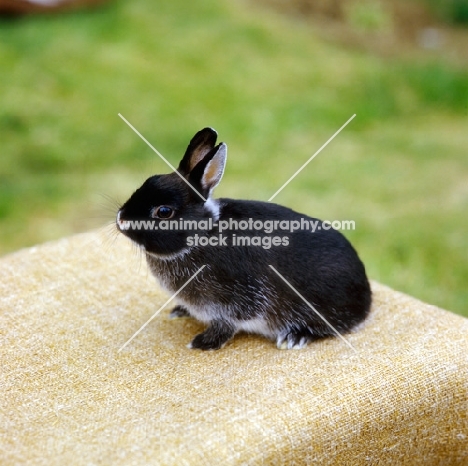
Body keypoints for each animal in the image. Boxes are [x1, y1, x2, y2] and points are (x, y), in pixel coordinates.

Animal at [115, 127, 372, 350]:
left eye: (164, 212)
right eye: (147, 181)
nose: (121, 219)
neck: (202, 235)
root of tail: (366, 297)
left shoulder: (237, 300)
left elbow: (228, 323)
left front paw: (203, 343)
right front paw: (181, 311)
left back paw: (294, 337)